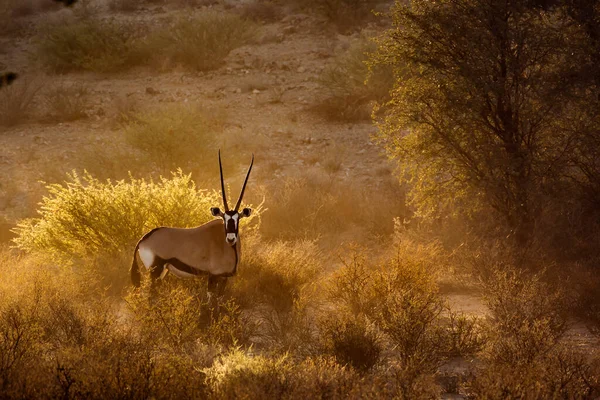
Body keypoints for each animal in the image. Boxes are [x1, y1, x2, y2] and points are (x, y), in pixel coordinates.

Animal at [131, 150, 253, 296]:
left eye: (238, 219)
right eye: (224, 218)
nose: (230, 239)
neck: (226, 246)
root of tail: (143, 239)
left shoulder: (224, 278)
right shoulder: (213, 275)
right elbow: (211, 299)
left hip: (163, 271)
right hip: (155, 269)